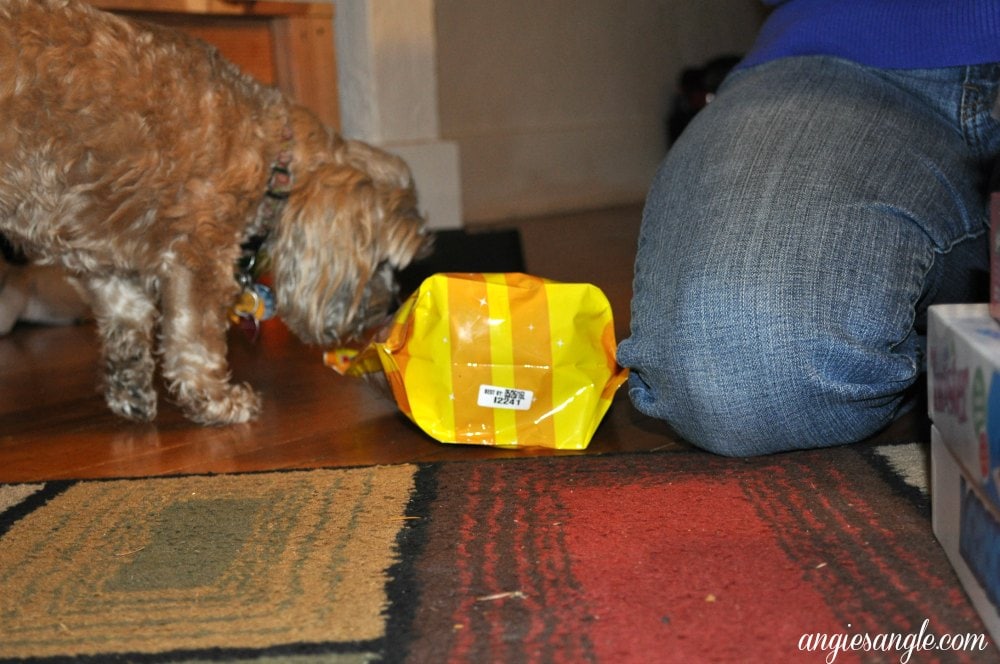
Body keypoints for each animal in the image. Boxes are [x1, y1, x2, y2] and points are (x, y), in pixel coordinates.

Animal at [0, 0, 430, 426]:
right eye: (382, 261)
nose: (389, 307)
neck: (275, 155)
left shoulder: (107, 257)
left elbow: (127, 321)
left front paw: (131, 392)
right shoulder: (200, 254)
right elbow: (195, 340)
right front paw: (217, 400)